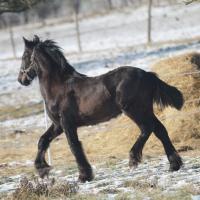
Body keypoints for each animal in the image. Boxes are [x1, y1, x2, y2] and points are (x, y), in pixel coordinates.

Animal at [18, 36, 184, 183]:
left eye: (25, 56)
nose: (21, 80)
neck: (59, 87)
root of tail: (147, 75)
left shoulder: (67, 123)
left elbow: (74, 146)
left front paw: (84, 176)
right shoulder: (58, 125)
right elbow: (43, 141)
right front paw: (42, 170)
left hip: (134, 110)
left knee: (147, 128)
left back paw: (133, 159)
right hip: (146, 110)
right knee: (160, 130)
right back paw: (174, 165)